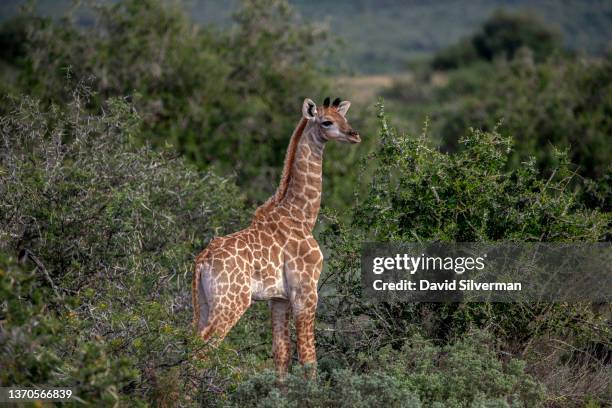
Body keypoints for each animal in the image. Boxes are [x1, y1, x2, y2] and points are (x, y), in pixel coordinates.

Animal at [192, 95, 358, 376]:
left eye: (344, 117)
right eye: (327, 122)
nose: (354, 135)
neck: (301, 216)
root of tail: (202, 261)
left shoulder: (278, 299)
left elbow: (281, 356)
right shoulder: (306, 291)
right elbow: (309, 358)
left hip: (204, 302)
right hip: (232, 301)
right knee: (203, 349)